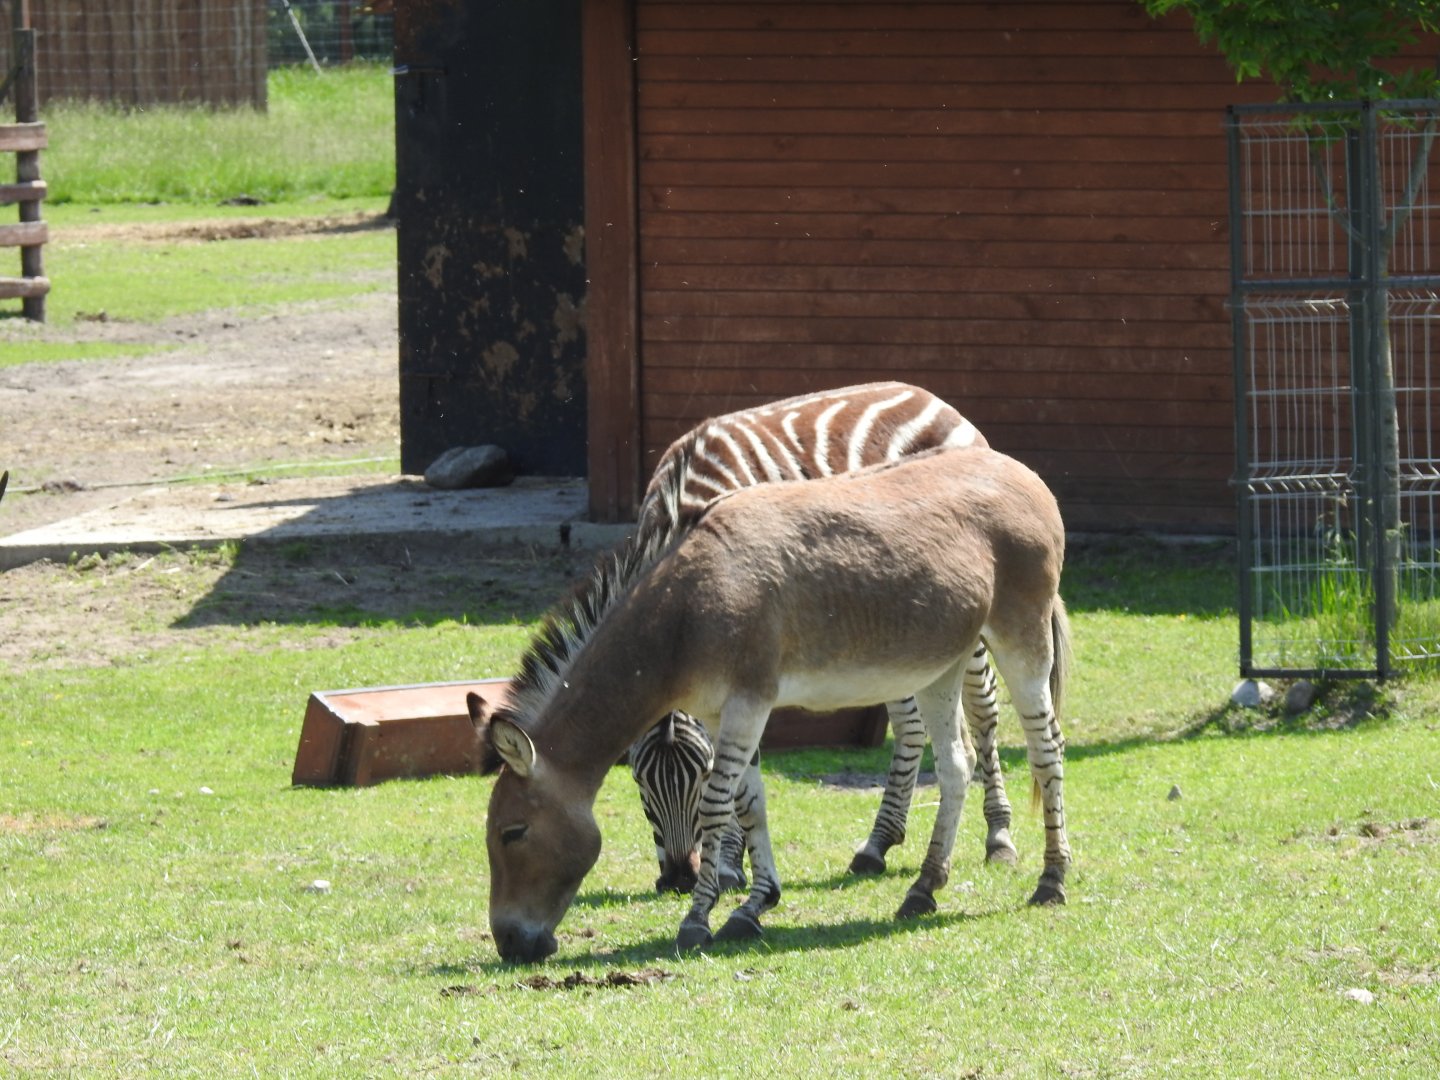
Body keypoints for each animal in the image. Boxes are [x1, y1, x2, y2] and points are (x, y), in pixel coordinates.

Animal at [624, 382, 1021, 893]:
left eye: (703, 775)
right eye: (640, 782)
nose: (677, 879)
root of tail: (929, 397)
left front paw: (730, 862)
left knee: (984, 711)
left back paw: (999, 835)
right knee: (911, 726)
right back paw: (878, 844)